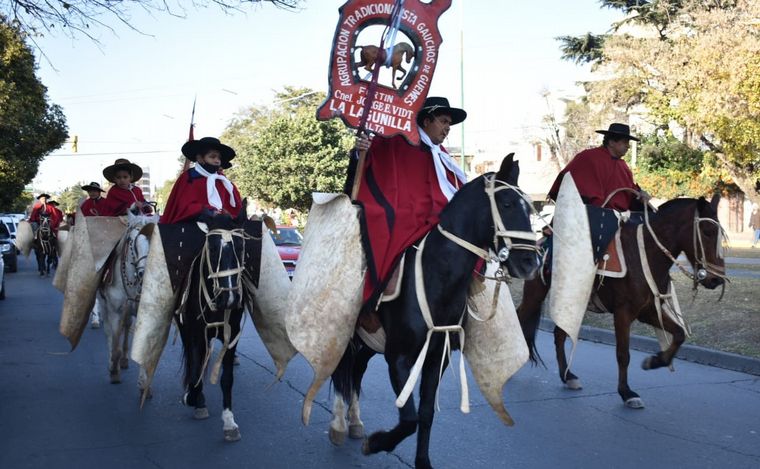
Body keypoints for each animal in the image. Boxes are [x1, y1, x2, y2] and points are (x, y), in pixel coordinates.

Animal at [98, 209, 157, 392]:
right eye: (131, 240)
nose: (144, 274)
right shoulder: (115, 311)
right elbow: (114, 344)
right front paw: (113, 372)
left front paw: (144, 385)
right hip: (104, 305)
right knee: (109, 333)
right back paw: (113, 363)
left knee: (126, 327)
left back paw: (123, 360)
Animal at [178, 207, 262, 438]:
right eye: (213, 249)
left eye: (241, 247)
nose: (230, 298)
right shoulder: (196, 332)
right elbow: (195, 368)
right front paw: (193, 398)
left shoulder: (231, 335)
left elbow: (227, 379)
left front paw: (229, 421)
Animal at [332, 154, 540, 468]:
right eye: (506, 204)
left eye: (528, 206)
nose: (531, 263)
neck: (436, 279)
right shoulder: (399, 358)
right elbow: (409, 418)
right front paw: (377, 443)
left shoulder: (436, 358)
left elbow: (425, 415)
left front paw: (422, 461)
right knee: (339, 369)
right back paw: (338, 424)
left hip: (369, 342)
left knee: (356, 370)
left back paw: (355, 422)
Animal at [520, 194, 728, 406]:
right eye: (708, 231)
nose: (716, 279)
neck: (646, 254)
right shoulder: (623, 312)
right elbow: (623, 354)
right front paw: (627, 392)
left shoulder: (649, 311)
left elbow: (679, 334)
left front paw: (654, 361)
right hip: (535, 295)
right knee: (522, 318)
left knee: (560, 334)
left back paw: (568, 376)